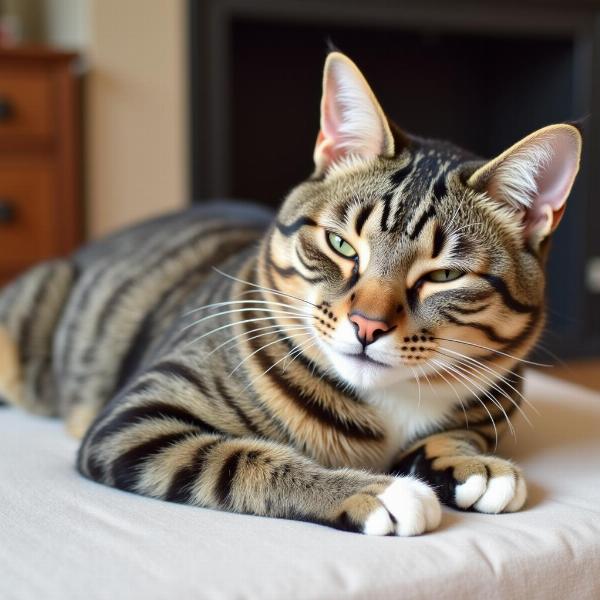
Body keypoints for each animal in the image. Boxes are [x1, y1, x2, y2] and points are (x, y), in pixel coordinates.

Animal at [0, 54, 580, 536]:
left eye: (443, 276)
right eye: (341, 244)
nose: (367, 325)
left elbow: (461, 434)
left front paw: (474, 464)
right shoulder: (136, 419)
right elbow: (242, 460)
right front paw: (377, 492)